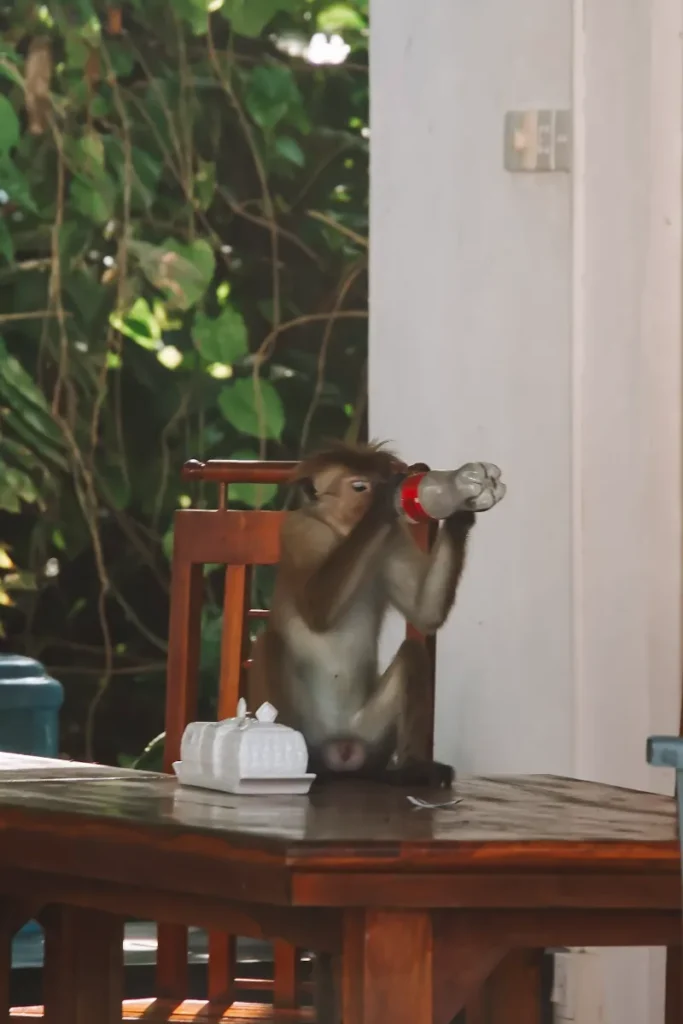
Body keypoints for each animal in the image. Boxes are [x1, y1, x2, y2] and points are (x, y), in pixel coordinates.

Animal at [248, 436, 505, 786]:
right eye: (360, 487)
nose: (377, 493)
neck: (341, 534)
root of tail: (340, 751)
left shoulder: (391, 538)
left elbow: (425, 614)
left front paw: (461, 511)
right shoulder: (302, 532)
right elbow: (317, 613)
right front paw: (389, 501)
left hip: (368, 736)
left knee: (413, 654)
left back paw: (413, 768)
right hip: (310, 731)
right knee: (269, 643)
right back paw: (306, 766)